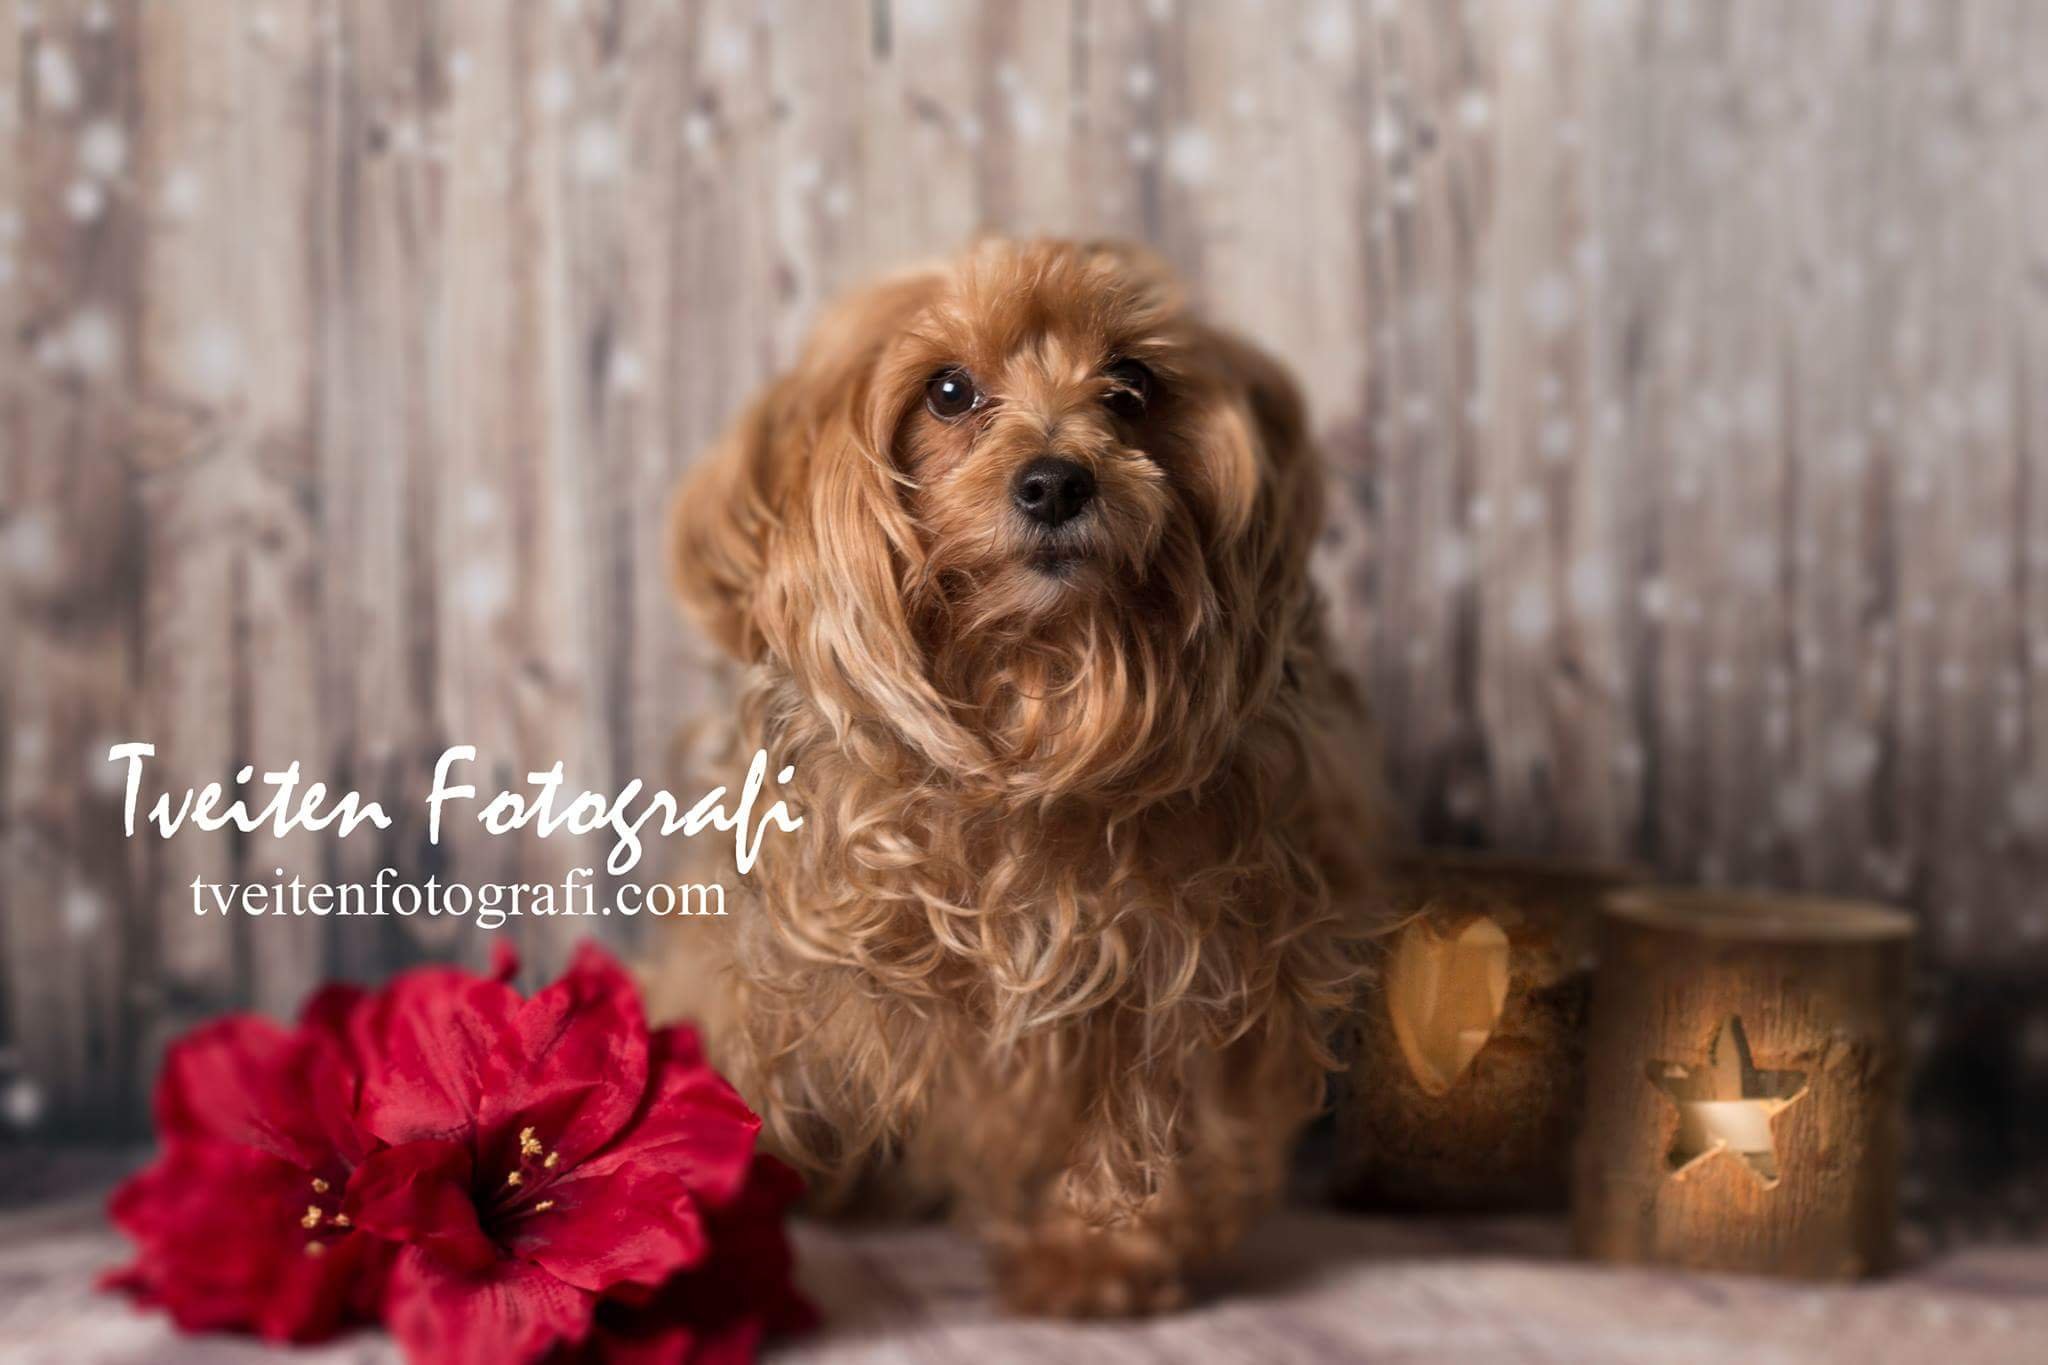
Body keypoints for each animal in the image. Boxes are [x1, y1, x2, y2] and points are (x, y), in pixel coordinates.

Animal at [658, 238, 1387, 1316]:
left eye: (1131, 386)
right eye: (948, 391)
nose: (1054, 483)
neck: (1033, 683)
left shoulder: (1201, 961)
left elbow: (1167, 1111)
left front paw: (1101, 1253)